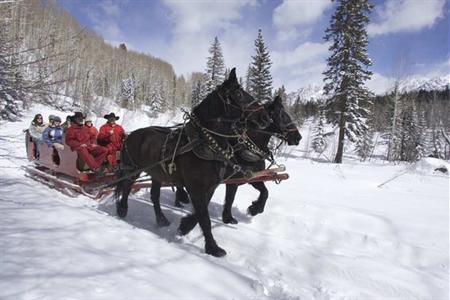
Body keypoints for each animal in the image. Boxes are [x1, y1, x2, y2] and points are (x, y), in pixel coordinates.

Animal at [114, 69, 272, 256]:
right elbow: (205, 218)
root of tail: (130, 135)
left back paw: (161, 219)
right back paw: (122, 209)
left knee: (154, 195)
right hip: (133, 169)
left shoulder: (210, 187)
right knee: (126, 187)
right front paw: (213, 248)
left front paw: (185, 226)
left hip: (157, 174)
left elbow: (200, 214)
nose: (266, 118)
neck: (205, 143)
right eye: (239, 94)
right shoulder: (196, 188)